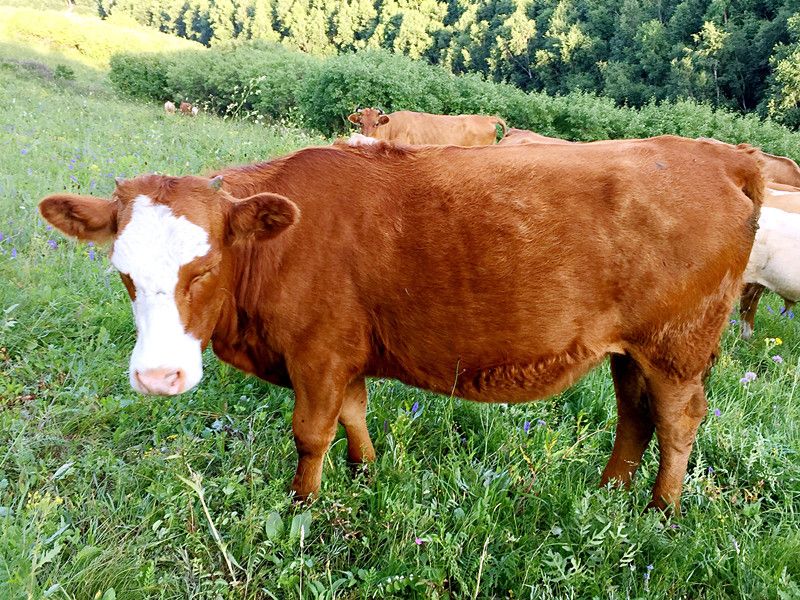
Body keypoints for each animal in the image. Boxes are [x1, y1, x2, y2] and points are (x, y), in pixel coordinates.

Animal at [39, 136, 764, 510]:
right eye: (123, 271)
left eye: (207, 267)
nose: (159, 376)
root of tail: (721, 155)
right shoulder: (346, 351)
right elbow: (354, 414)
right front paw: (365, 470)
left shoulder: (318, 353)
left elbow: (311, 433)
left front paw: (304, 502)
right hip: (630, 349)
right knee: (634, 413)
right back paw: (610, 486)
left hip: (676, 348)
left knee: (677, 421)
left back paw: (660, 507)